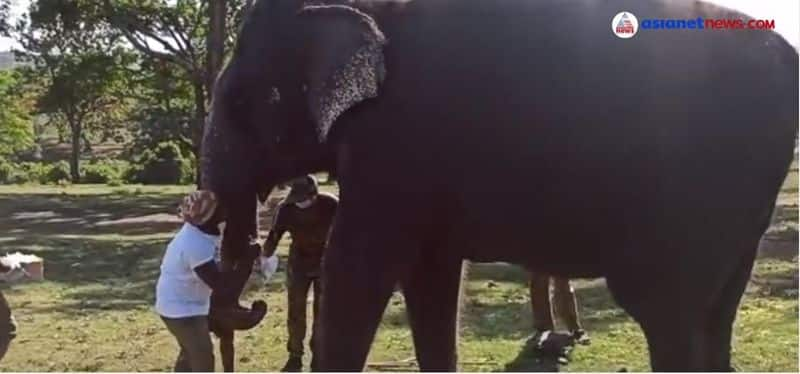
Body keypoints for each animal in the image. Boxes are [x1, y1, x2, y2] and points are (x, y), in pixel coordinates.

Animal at [198, 0, 792, 372]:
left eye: (239, 103)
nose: (254, 302)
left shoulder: (395, 141)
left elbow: (359, 267)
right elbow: (429, 276)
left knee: (664, 310)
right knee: (715, 312)